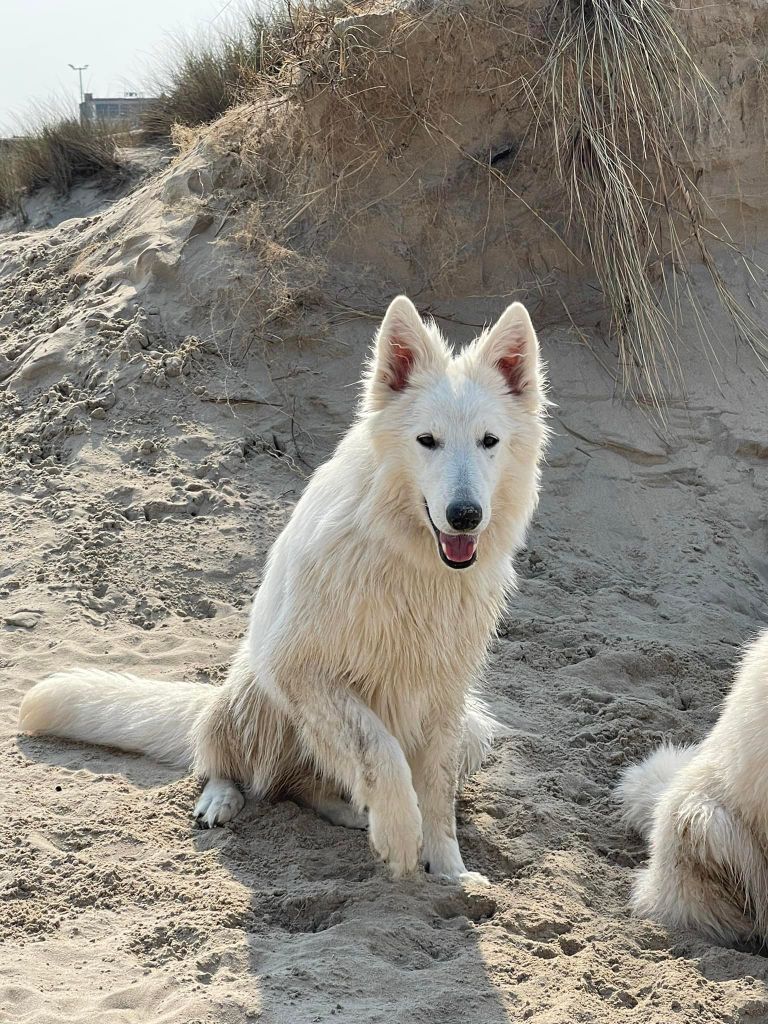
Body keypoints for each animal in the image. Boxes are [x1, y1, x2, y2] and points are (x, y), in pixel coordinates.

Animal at [16, 294, 548, 880]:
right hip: (257, 690)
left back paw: (350, 811)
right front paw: (401, 834)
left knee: (305, 785)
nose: (465, 515)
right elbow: (378, 749)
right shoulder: (301, 668)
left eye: (489, 442)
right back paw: (223, 799)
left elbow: (436, 792)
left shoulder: (444, 694)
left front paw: (450, 870)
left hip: (475, 728)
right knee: (235, 765)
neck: (409, 559)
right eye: (426, 441)